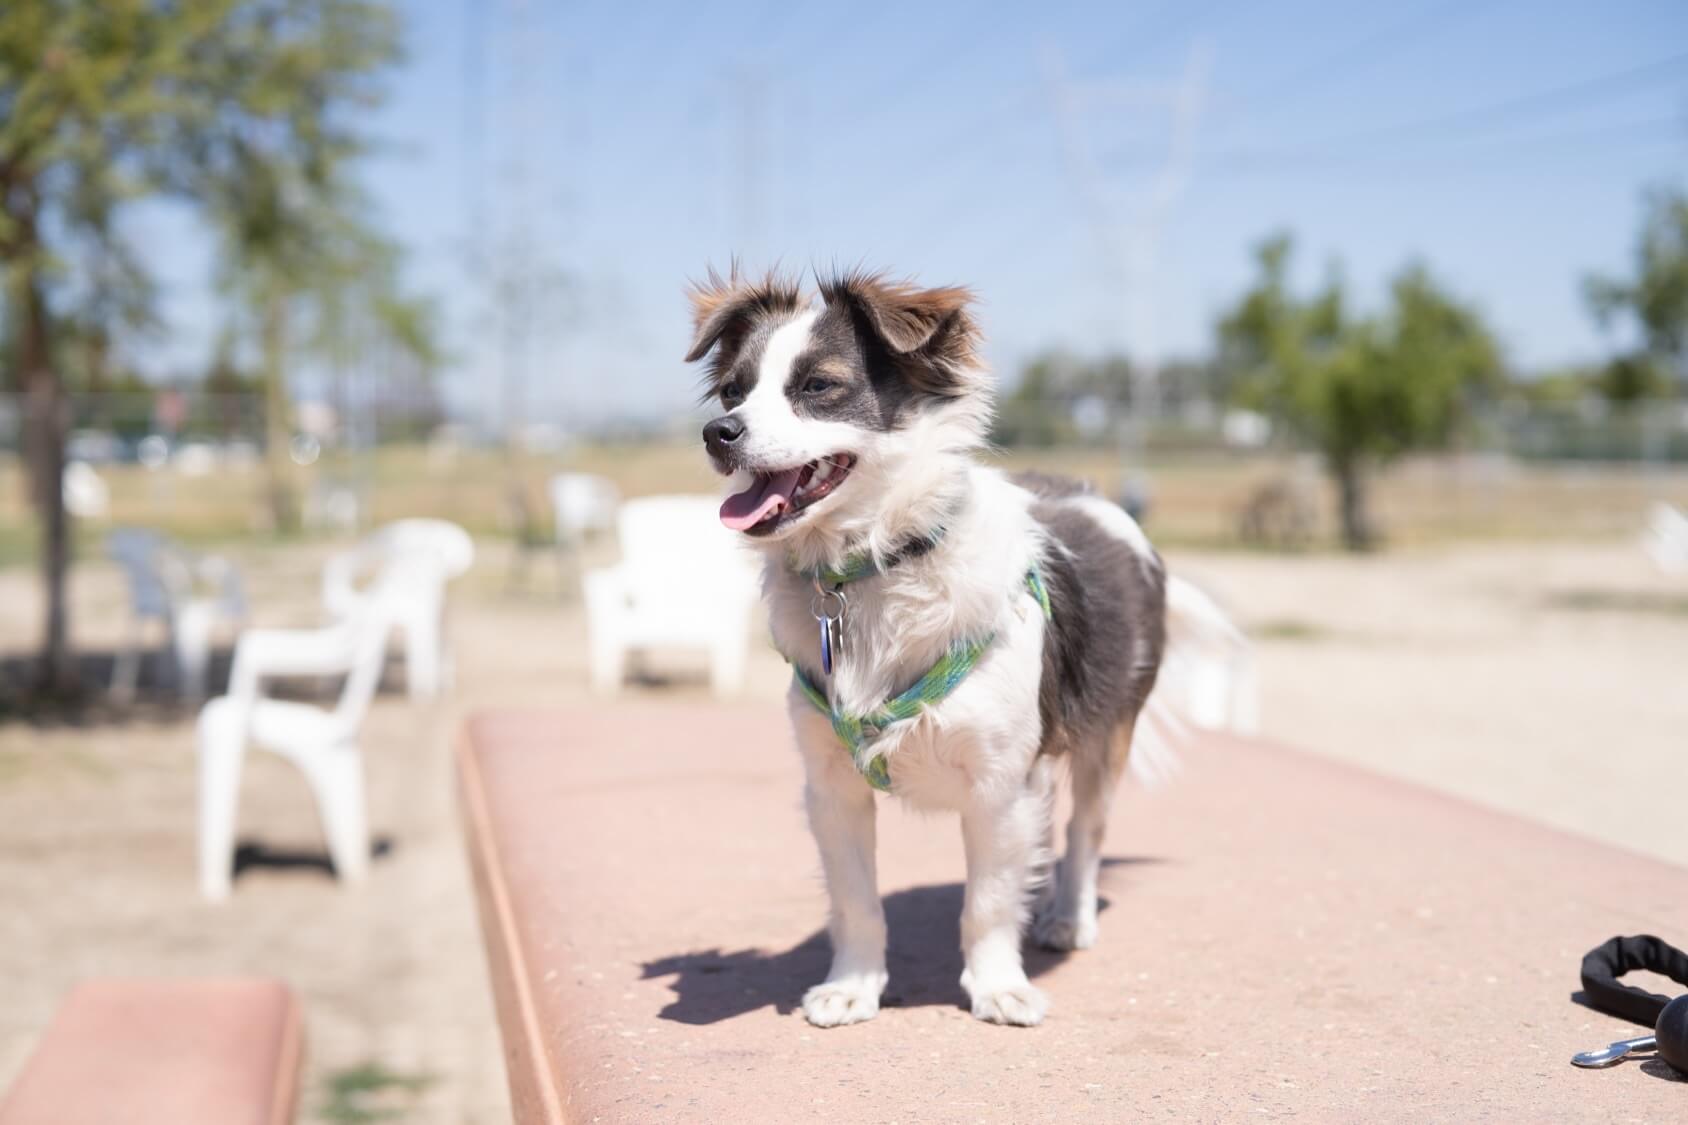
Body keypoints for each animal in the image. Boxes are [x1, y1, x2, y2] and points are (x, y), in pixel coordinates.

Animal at [681, 265, 1242, 1027]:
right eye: (733, 391)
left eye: (819, 386)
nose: (719, 433)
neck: (876, 566)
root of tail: (1097, 499)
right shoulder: (831, 789)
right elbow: (857, 902)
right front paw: (854, 985)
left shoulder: (1001, 786)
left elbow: (989, 901)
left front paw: (998, 984)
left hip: (1106, 739)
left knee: (1085, 833)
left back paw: (1069, 916)